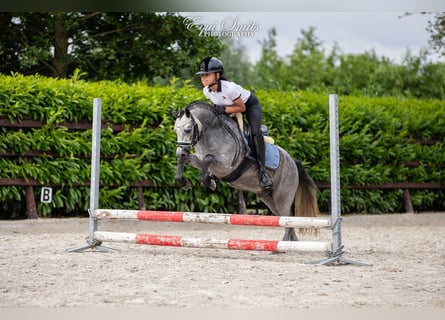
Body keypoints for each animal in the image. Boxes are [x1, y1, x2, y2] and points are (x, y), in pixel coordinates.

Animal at [171, 100, 320, 240]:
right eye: (175, 130)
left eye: (188, 129)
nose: (180, 152)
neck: (210, 133)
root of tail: (293, 161)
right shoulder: (198, 159)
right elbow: (187, 161)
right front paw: (183, 182)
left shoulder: (226, 165)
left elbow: (208, 159)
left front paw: (208, 182)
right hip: (267, 198)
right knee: (287, 219)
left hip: (282, 196)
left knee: (287, 219)